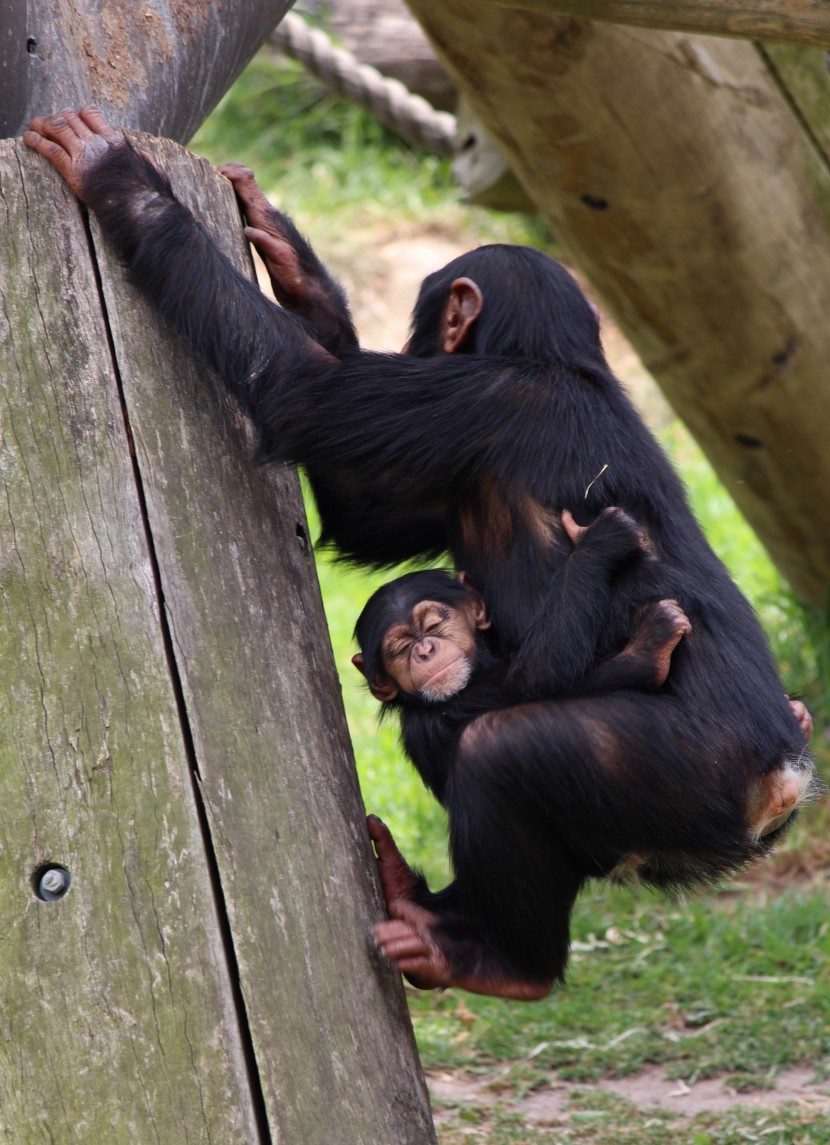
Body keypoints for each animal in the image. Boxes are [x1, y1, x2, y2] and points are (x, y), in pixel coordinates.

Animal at [25, 109, 815, 1003]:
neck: (555, 359)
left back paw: (504, 960)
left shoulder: (473, 401)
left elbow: (303, 391)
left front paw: (117, 175)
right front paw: (289, 257)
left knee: (497, 751)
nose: (416, 342)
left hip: (686, 775)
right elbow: (364, 510)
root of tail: (783, 783)